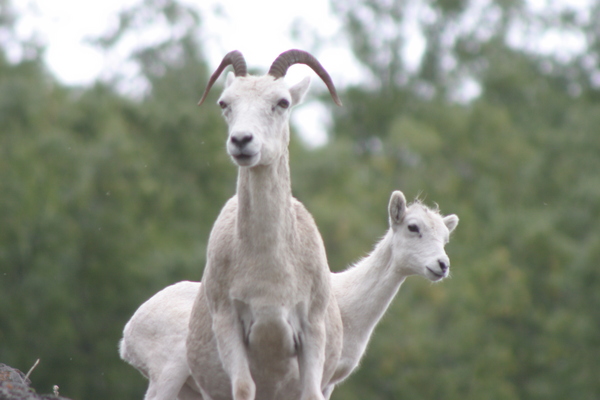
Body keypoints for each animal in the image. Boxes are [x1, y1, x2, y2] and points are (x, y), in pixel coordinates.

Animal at [120, 191, 460, 400]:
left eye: (446, 238)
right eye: (413, 227)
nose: (442, 265)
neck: (350, 308)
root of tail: (127, 336)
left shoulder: (327, 380)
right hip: (168, 366)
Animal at [188, 50, 344, 400]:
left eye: (282, 102)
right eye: (225, 102)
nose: (242, 140)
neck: (269, 275)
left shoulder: (312, 329)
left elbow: (310, 393)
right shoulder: (228, 324)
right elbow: (244, 387)